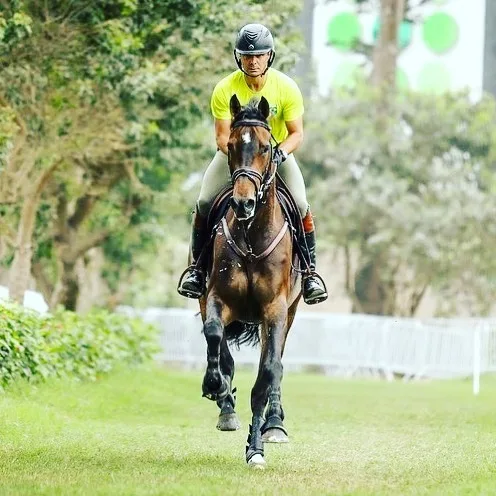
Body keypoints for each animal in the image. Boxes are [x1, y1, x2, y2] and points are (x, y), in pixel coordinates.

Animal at [199, 94, 302, 468]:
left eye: (265, 147)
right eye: (230, 146)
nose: (242, 202)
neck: (252, 236)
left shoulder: (275, 311)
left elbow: (267, 374)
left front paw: (256, 448)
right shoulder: (216, 298)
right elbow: (216, 338)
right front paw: (215, 385)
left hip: (290, 313)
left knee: (276, 366)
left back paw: (275, 425)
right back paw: (225, 406)